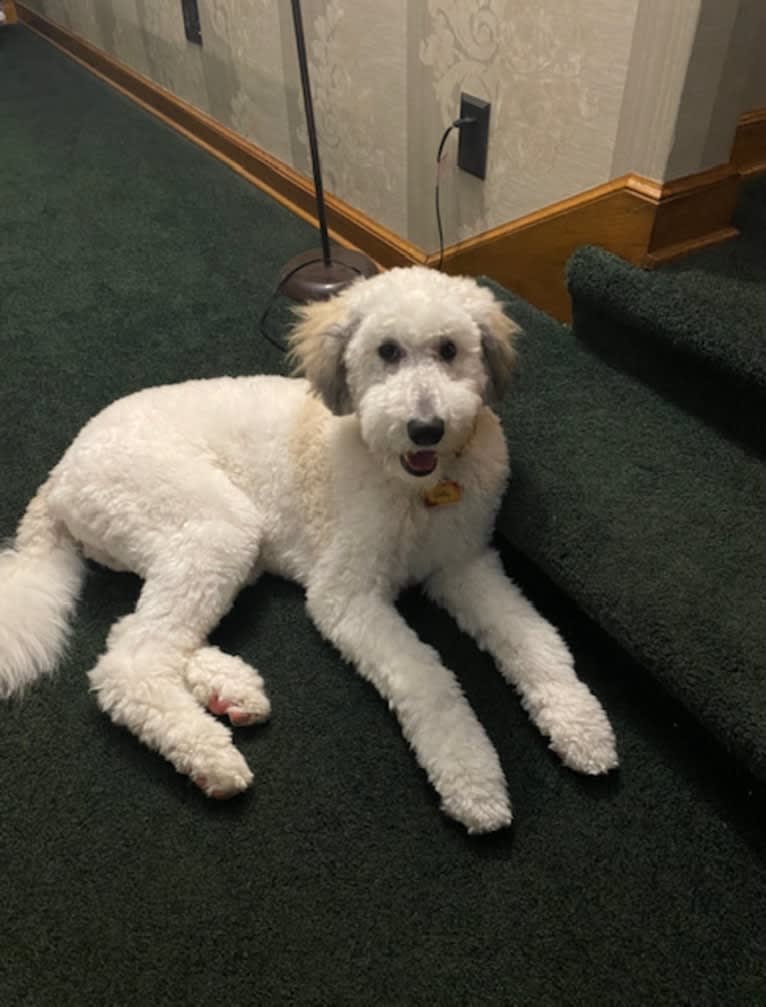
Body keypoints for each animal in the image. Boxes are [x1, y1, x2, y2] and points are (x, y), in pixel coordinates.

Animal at [0, 263, 616, 829]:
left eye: (449, 349)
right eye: (387, 351)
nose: (425, 428)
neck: (417, 486)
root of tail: (60, 473)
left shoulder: (465, 565)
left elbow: (536, 640)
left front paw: (580, 724)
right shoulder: (347, 595)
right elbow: (428, 676)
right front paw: (473, 778)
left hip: (212, 546)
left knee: (148, 634)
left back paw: (229, 690)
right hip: (214, 523)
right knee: (130, 660)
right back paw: (209, 755)